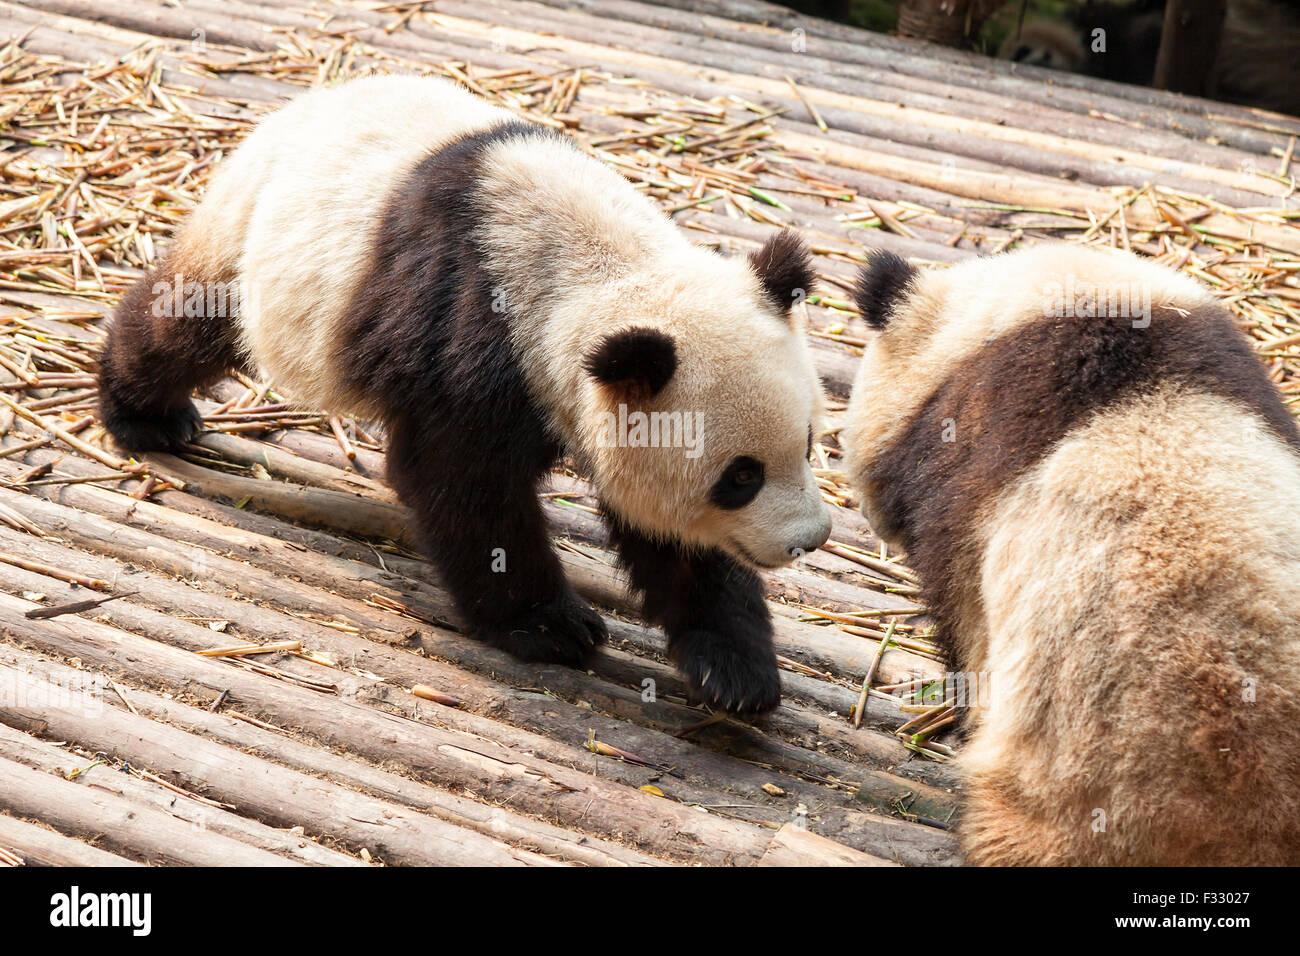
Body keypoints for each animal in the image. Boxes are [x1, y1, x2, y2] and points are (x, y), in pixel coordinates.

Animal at [98, 76, 832, 717]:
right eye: (740, 477)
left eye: (806, 445)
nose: (811, 539)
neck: (600, 268)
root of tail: (301, 104)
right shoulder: (476, 335)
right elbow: (465, 483)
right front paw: (551, 626)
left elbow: (674, 539)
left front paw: (735, 670)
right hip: (260, 236)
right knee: (186, 320)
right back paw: (144, 415)